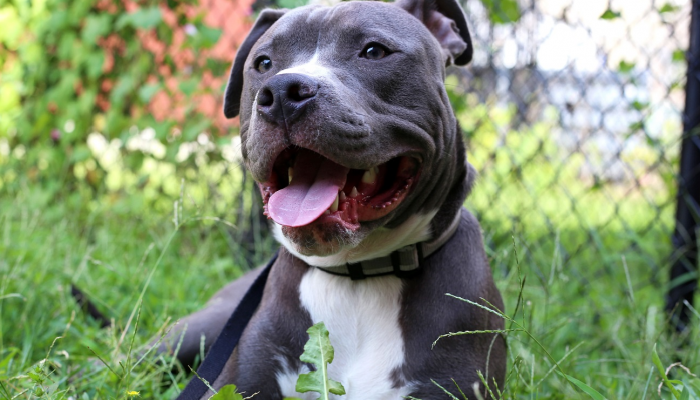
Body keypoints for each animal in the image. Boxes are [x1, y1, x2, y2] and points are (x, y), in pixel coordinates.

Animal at [161, 0, 506, 396]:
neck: (358, 276)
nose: (283, 92)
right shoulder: (237, 384)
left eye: (374, 51)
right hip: (192, 330)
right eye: (263, 63)